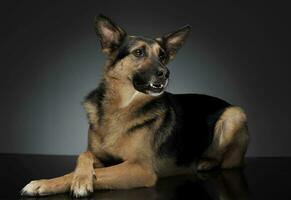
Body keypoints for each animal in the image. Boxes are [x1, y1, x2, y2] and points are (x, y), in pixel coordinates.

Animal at [21, 15, 250, 197]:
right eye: (139, 52)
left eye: (162, 56)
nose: (165, 73)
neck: (121, 108)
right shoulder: (100, 157)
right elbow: (83, 156)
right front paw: (49, 183)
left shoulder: (140, 169)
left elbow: (100, 173)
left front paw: (80, 183)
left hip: (235, 114)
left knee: (228, 161)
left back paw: (205, 161)